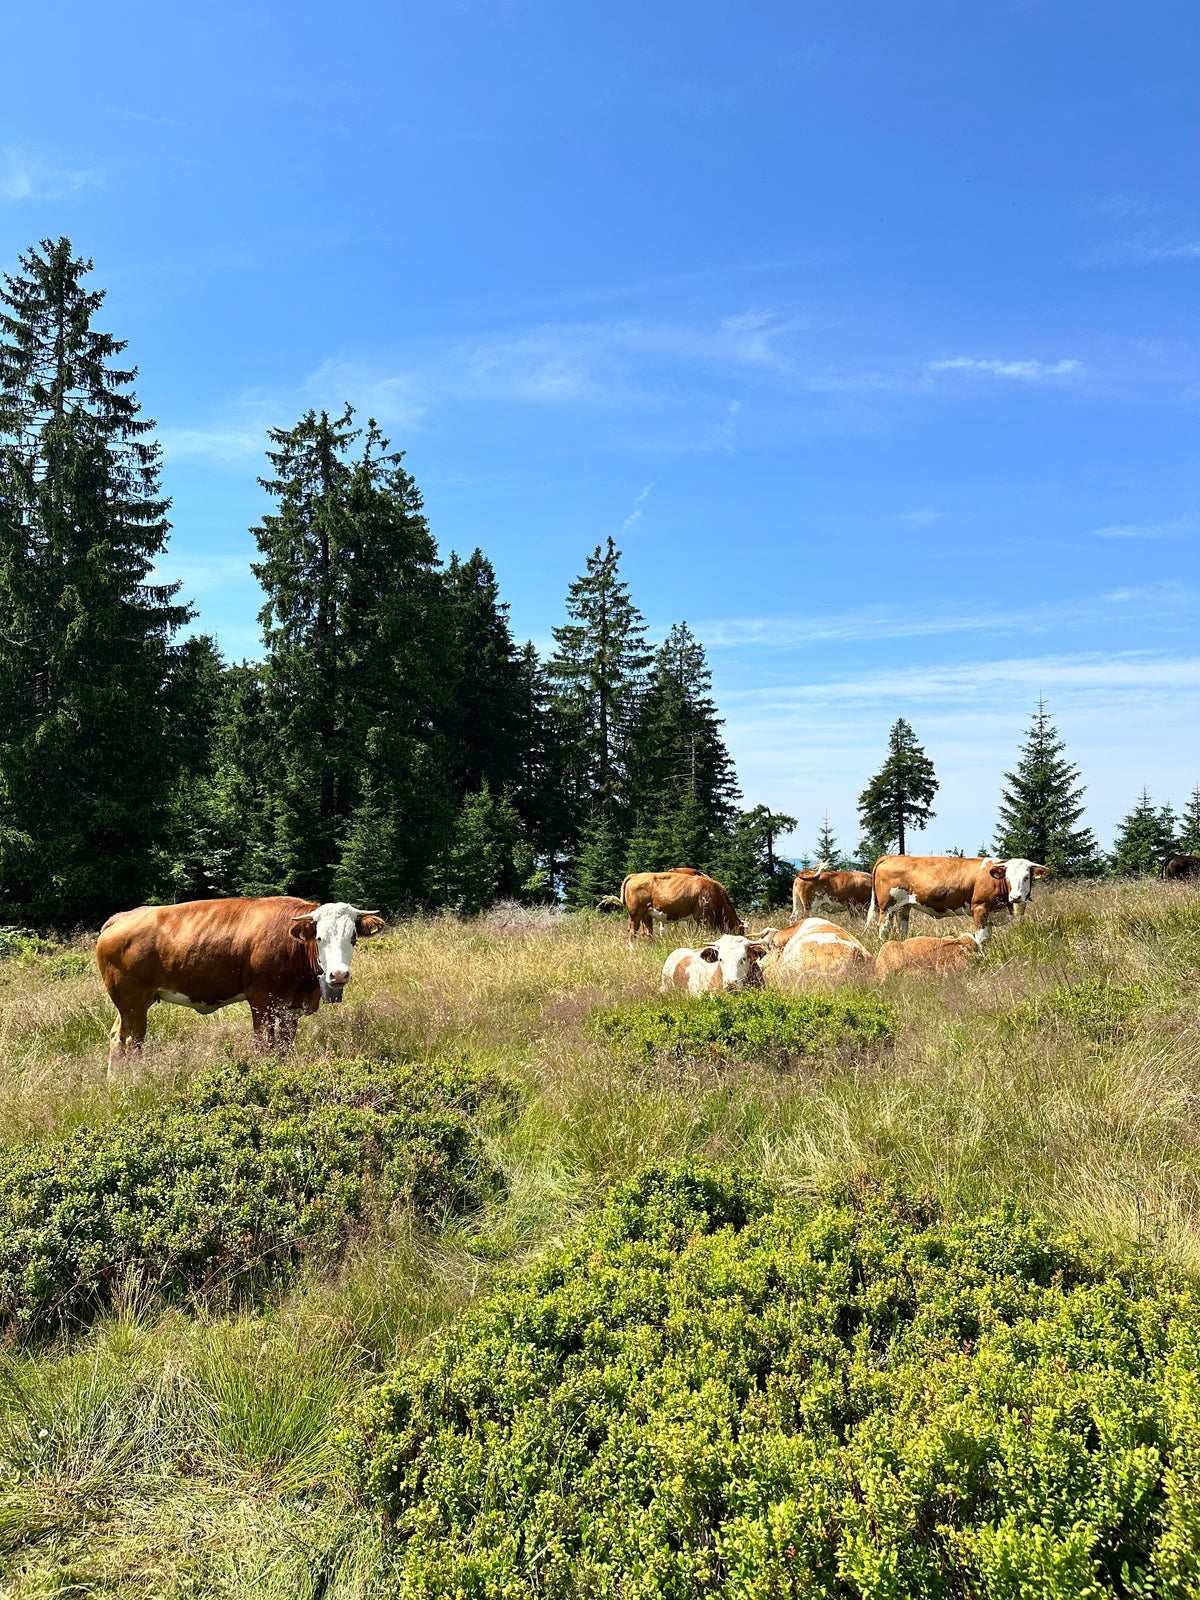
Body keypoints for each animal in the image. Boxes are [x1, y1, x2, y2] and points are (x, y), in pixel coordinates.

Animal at [95, 897, 385, 1069]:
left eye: (352, 937)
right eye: (320, 937)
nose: (338, 975)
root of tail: (123, 916)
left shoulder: (291, 1007)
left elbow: (285, 1045)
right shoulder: (261, 1000)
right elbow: (265, 1045)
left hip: (130, 1005)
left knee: (117, 1037)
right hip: (133, 1003)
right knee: (131, 1041)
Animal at [605, 869, 744, 949]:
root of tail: (636, 875)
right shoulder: (703, 919)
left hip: (646, 914)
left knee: (648, 933)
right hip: (636, 914)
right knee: (632, 932)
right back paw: (632, 950)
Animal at [868, 856, 1047, 946]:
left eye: (1026, 877)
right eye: (1007, 877)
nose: (1015, 897)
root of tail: (893, 856)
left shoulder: (989, 913)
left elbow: (987, 937)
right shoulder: (980, 909)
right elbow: (981, 937)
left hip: (904, 906)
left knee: (903, 928)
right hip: (887, 906)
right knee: (883, 928)